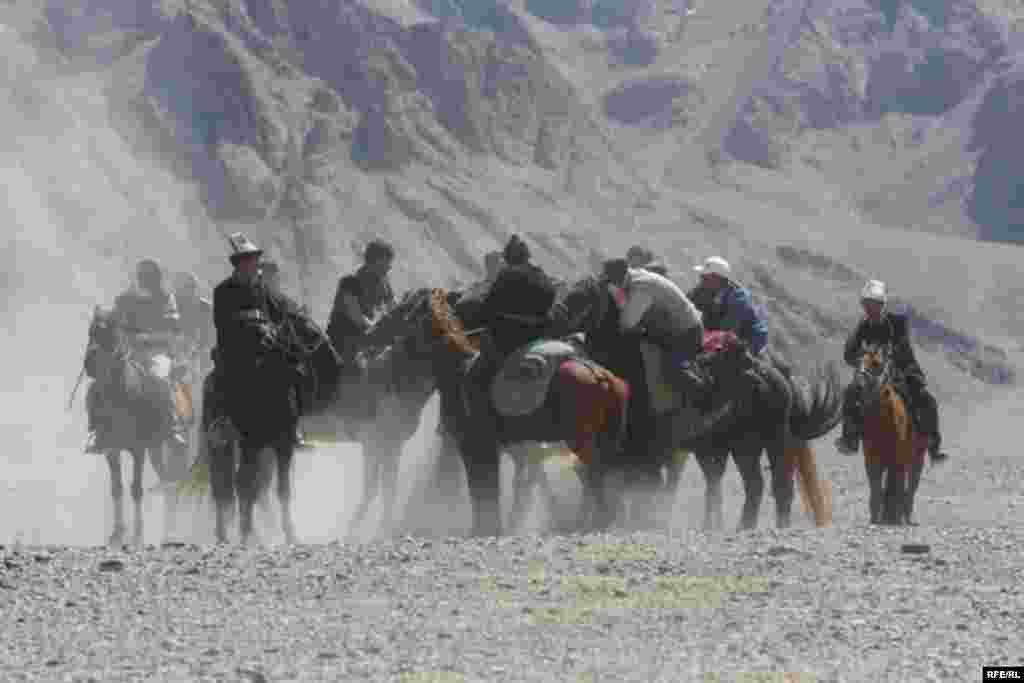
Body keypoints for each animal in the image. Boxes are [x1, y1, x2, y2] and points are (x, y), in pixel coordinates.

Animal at [82, 307, 193, 548]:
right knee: (166, 477)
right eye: (90, 332)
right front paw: (116, 534)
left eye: (111, 333)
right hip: (155, 449)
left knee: (173, 479)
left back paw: (172, 533)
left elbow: (136, 489)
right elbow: (116, 489)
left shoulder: (137, 449)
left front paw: (138, 536)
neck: (123, 394)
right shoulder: (111, 449)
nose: (90, 364)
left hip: (175, 445)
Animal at [851, 339, 925, 524]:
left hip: (917, 458)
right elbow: (875, 483)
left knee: (911, 485)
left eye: (876, 363)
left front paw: (892, 515)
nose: (858, 384)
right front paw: (875, 515)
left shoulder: (897, 454)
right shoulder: (871, 455)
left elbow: (895, 481)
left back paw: (905, 515)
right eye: (857, 361)